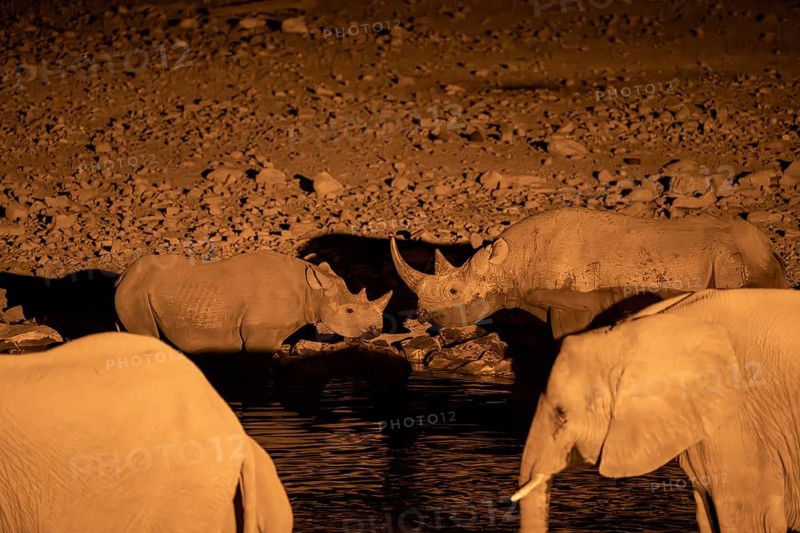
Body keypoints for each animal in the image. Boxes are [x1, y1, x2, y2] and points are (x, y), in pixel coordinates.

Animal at [115, 250, 391, 354]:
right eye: (350, 310)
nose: (376, 330)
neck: (311, 292)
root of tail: (122, 276)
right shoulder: (259, 336)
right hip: (134, 294)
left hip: (133, 293)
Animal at [391, 208, 787, 339]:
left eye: (454, 292)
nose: (422, 315)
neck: (511, 263)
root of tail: (767, 245)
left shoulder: (575, 304)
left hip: (733, 259)